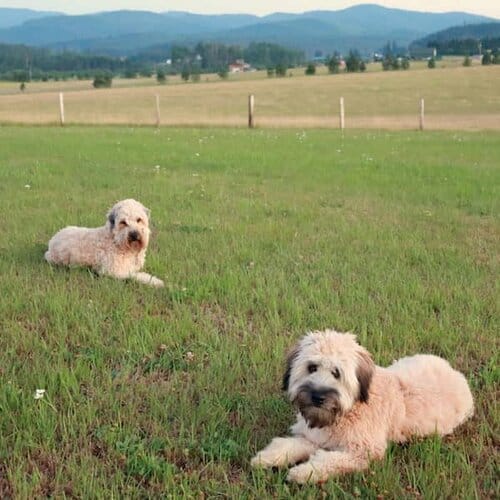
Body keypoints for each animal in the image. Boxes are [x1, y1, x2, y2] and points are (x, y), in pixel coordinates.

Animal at [252, 330, 474, 482]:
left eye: (336, 373)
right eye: (312, 367)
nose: (317, 397)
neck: (348, 410)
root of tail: (455, 373)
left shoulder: (363, 451)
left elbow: (327, 461)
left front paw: (303, 472)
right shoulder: (315, 437)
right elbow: (288, 445)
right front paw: (267, 457)